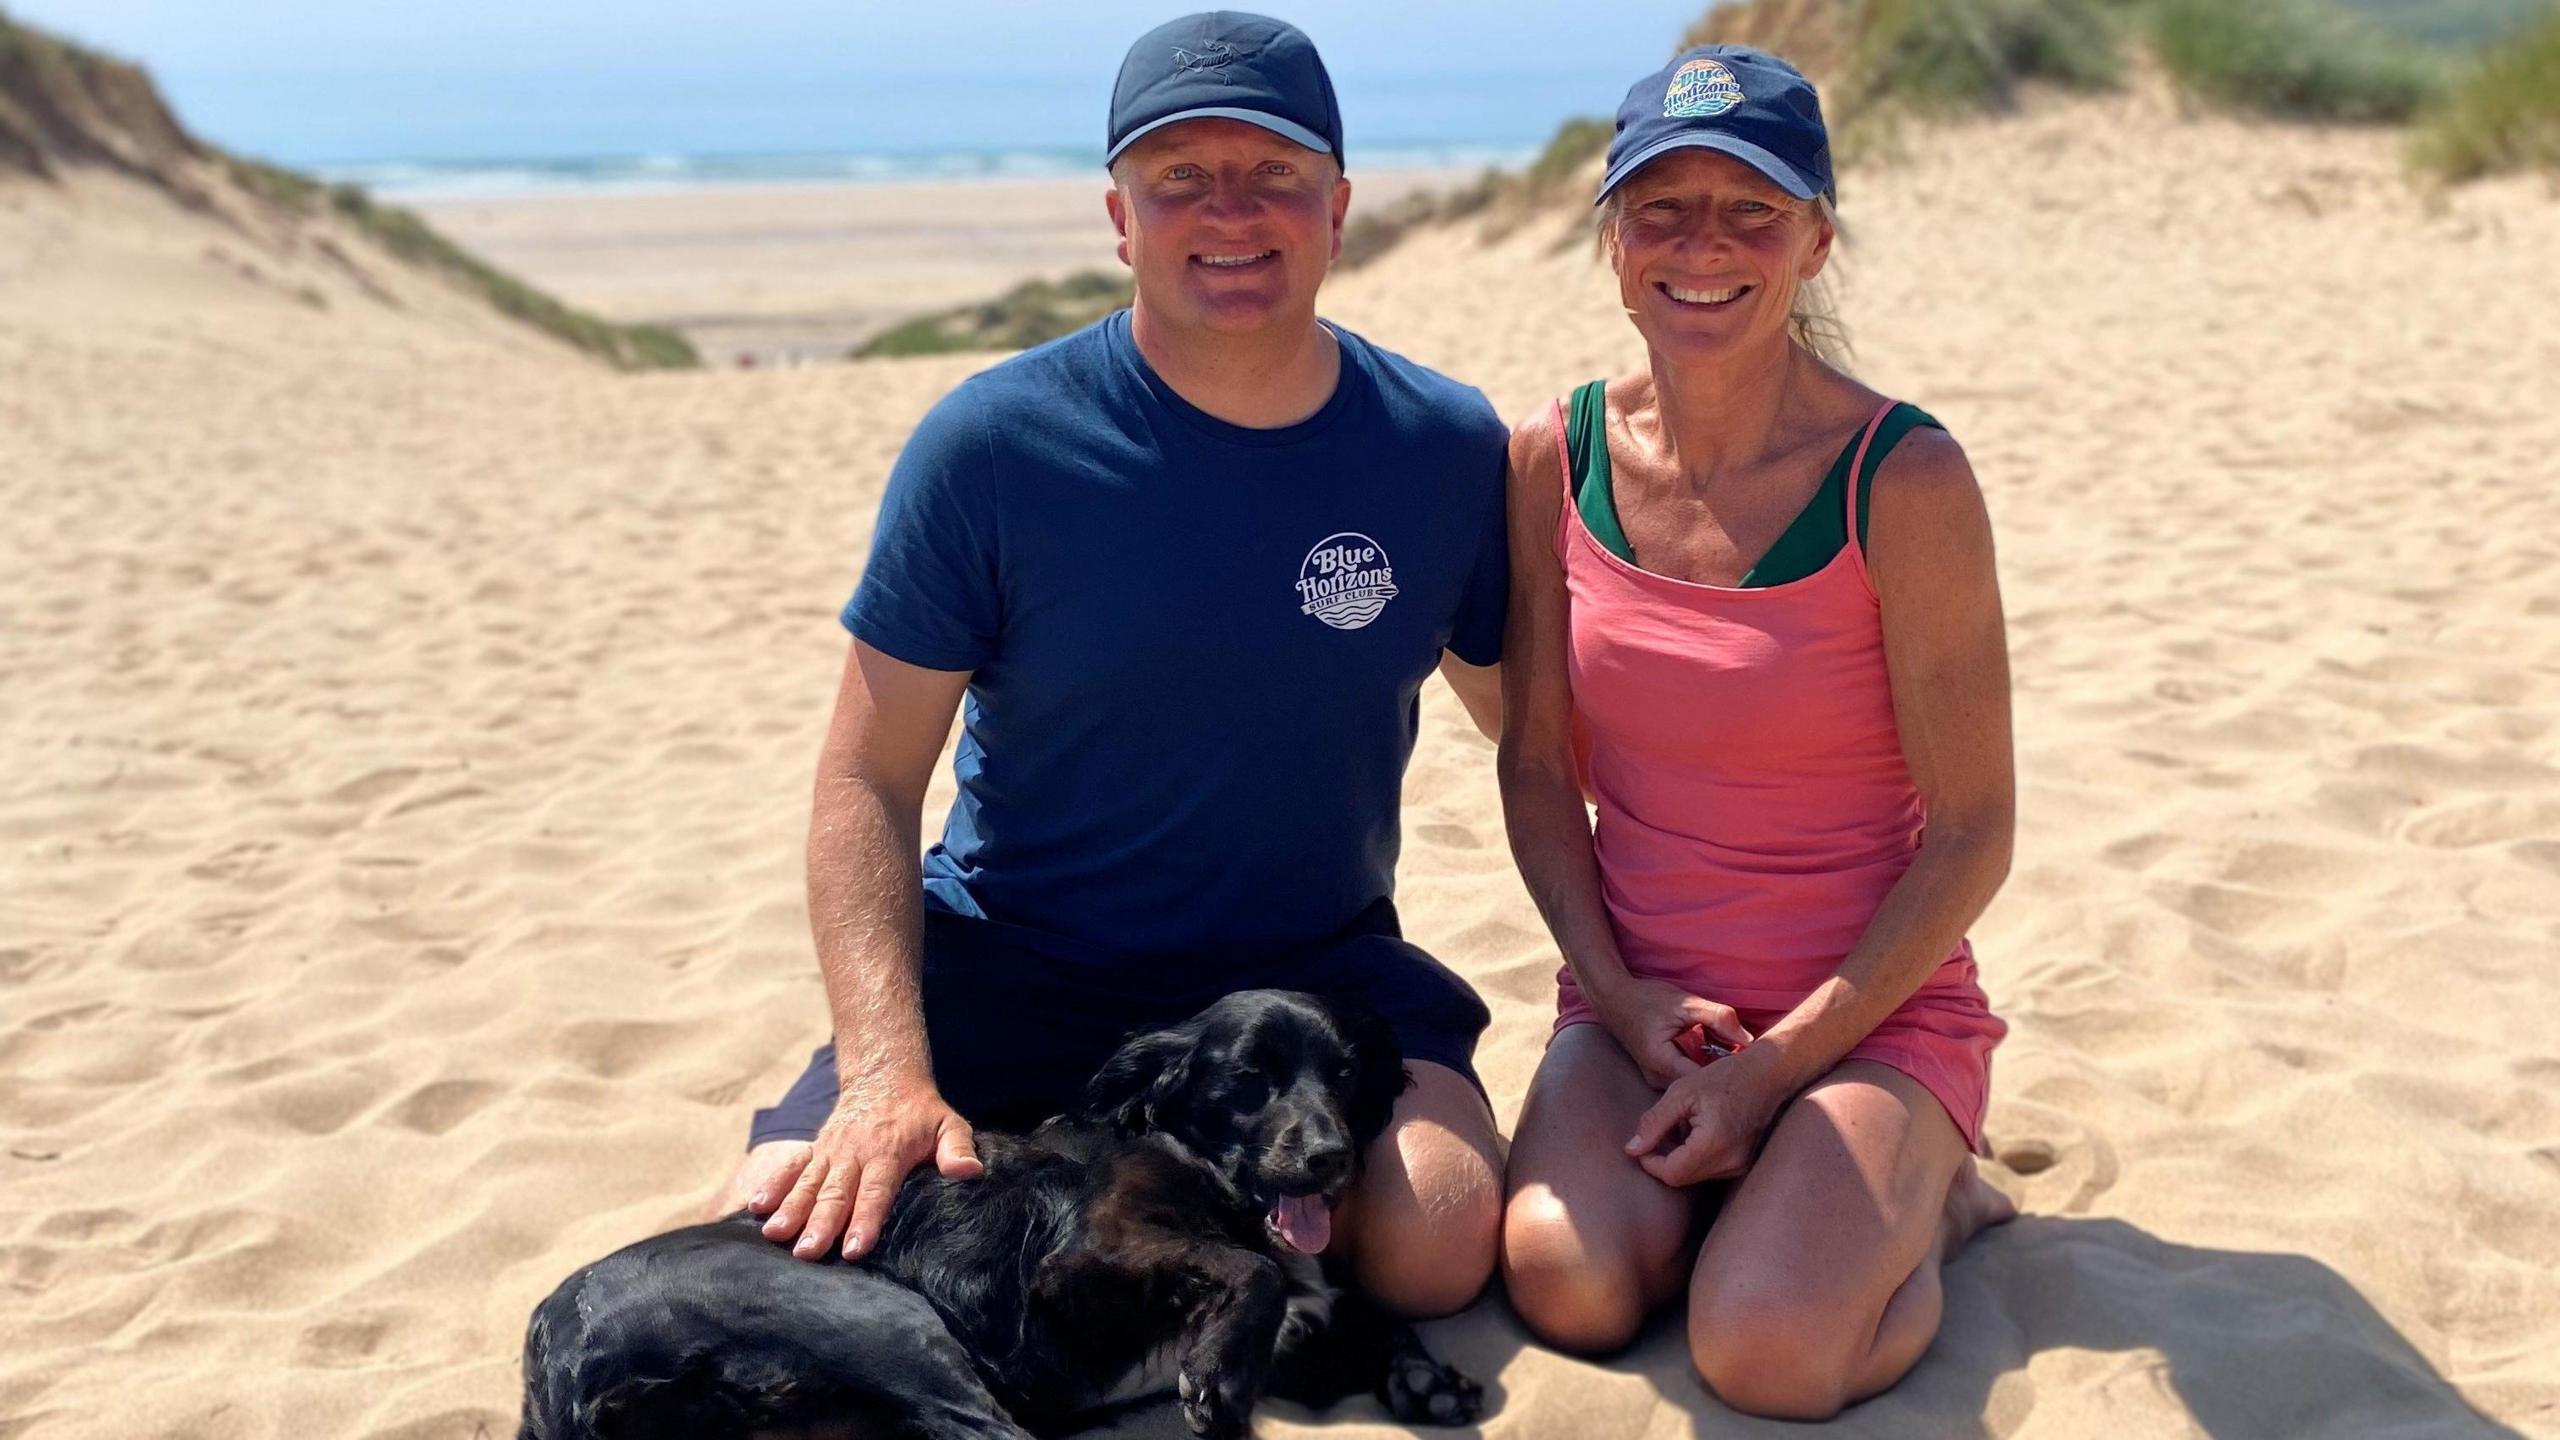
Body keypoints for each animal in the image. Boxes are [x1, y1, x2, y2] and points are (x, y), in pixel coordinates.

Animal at [519, 983, 1484, 1434]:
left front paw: (1424, 1376)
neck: (1196, 1164)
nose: (1332, 1158)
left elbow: (1358, 1310)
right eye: (1251, 1077)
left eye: (1347, 1075)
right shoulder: (1082, 1262)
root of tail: (553, 1355)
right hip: (879, 1318)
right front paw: (1219, 1373)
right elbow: (1251, 1271)